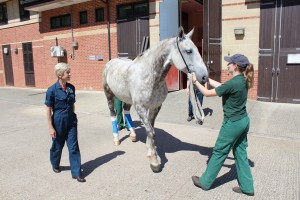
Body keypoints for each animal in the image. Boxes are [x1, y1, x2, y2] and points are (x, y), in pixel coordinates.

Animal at [102, 27, 207, 173]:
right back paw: (116, 139)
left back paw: (133, 135)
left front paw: (150, 152)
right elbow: (151, 132)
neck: (151, 76)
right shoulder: (141, 108)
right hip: (109, 95)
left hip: (127, 100)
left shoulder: (156, 106)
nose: (204, 76)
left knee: (126, 112)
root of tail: (110, 63)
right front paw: (155, 162)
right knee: (112, 114)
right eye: (188, 51)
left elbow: (151, 128)